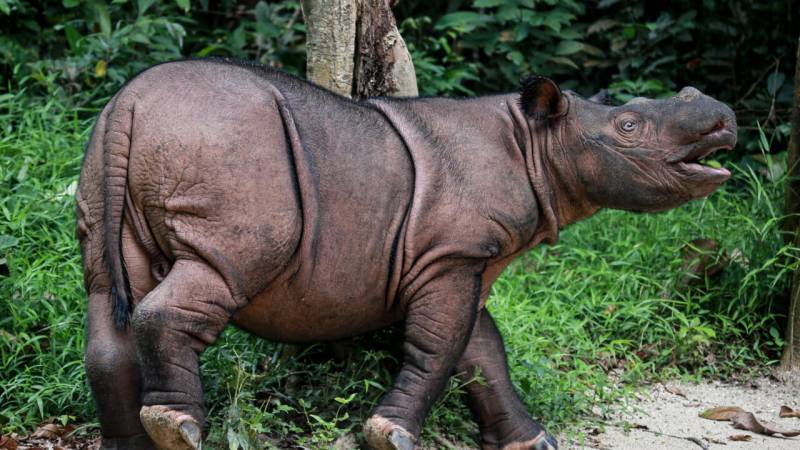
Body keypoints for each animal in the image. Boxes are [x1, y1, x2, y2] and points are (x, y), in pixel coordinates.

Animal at [76, 58, 737, 450]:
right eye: (628, 128)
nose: (723, 116)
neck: (538, 142)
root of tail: (130, 103)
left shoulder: (459, 257)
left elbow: (482, 350)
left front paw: (532, 442)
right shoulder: (454, 254)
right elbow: (440, 347)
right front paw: (389, 434)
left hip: (108, 153)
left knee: (109, 292)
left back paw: (134, 444)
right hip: (227, 152)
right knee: (214, 274)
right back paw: (179, 429)